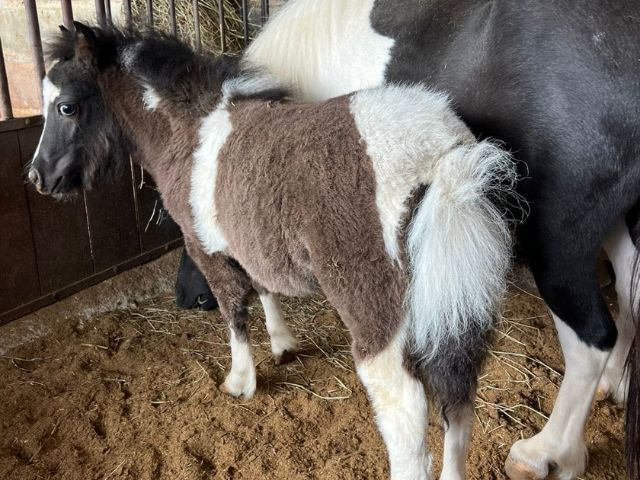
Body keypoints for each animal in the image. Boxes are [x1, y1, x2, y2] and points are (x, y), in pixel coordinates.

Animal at [28, 23, 519, 480]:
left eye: (66, 106)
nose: (37, 177)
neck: (189, 129)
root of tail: (440, 158)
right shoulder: (249, 239)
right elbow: (264, 287)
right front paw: (283, 345)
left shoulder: (205, 248)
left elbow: (234, 310)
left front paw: (240, 381)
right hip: (454, 309)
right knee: (458, 401)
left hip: (375, 307)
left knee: (406, 408)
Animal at [169, 1, 640, 478]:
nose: (187, 296)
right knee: (629, 293)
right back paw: (614, 386)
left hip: (557, 240)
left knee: (591, 339)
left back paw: (548, 453)